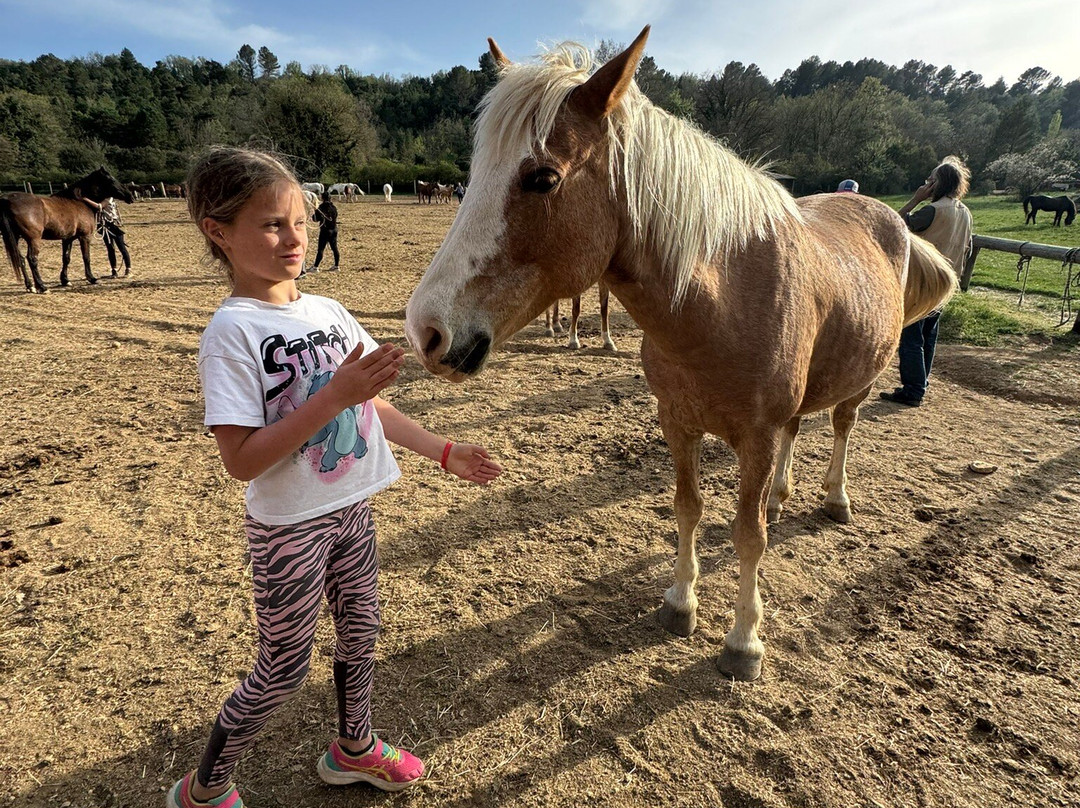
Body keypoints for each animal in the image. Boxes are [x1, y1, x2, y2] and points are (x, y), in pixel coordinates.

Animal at [1, 166, 135, 293]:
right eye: (111, 179)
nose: (130, 195)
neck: (79, 201)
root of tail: (7, 199)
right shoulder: (84, 237)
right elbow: (86, 257)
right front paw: (92, 278)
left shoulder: (67, 238)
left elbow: (66, 258)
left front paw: (65, 280)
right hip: (33, 239)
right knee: (32, 259)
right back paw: (42, 287)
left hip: (15, 238)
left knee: (21, 259)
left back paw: (30, 286)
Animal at [404, 28, 957, 681]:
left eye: (542, 178)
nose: (425, 331)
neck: (723, 304)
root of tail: (887, 216)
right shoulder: (677, 421)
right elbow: (687, 507)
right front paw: (680, 601)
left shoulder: (755, 437)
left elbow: (749, 536)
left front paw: (744, 640)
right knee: (797, 433)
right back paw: (782, 495)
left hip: (859, 381)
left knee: (842, 426)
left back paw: (834, 499)